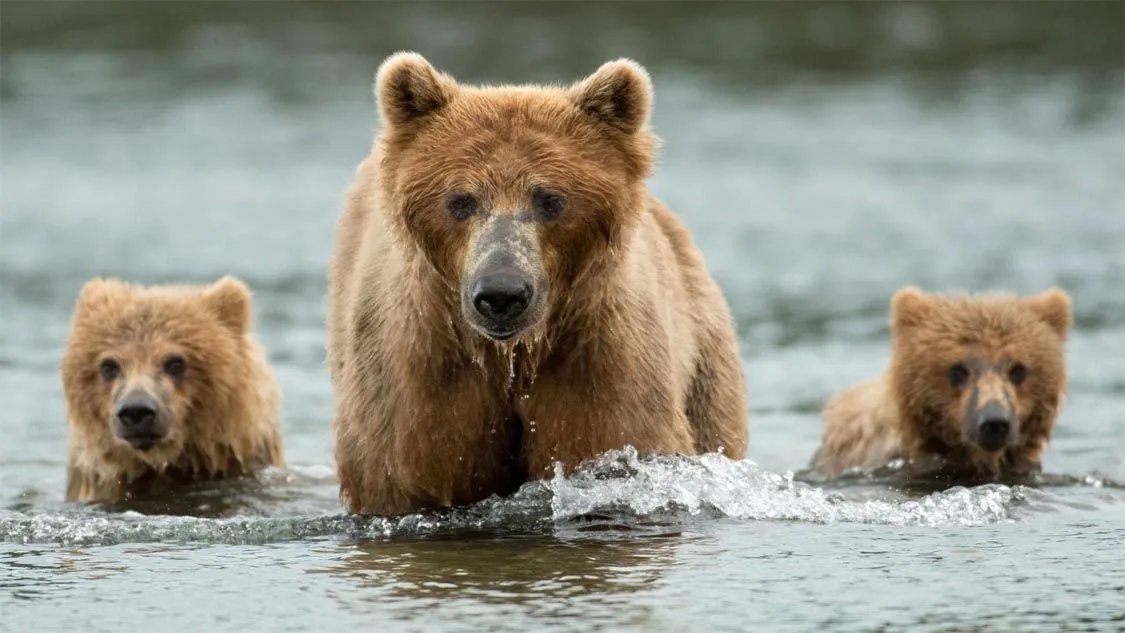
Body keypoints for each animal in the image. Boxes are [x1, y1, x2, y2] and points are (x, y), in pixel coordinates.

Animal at [326, 52, 748, 516]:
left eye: (550, 199)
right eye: (460, 200)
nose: (502, 294)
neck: (513, 355)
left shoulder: (596, 357)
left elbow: (615, 441)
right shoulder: (422, 376)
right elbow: (407, 470)